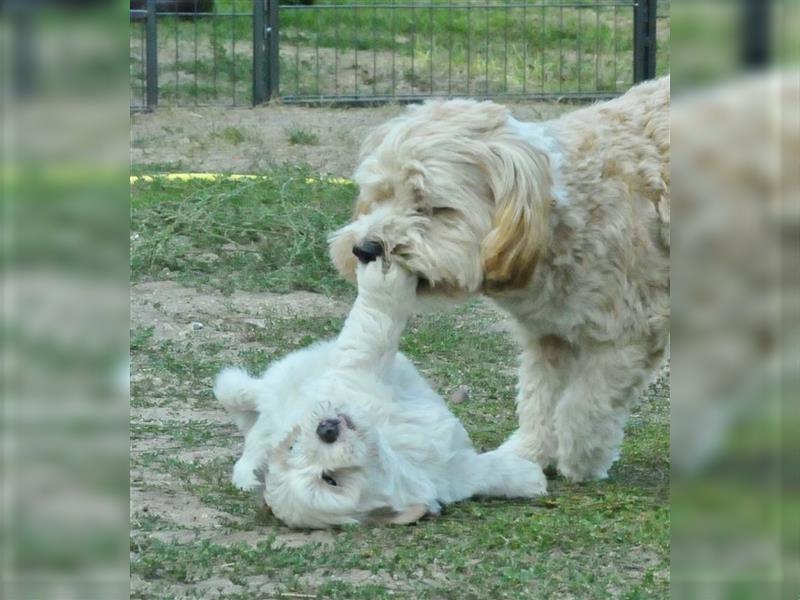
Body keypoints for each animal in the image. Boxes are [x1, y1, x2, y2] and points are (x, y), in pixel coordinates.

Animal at [216, 260, 548, 528]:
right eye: (330, 479)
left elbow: (370, 334)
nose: (326, 429)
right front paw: (528, 475)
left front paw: (524, 476)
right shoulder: (446, 475)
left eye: (292, 446)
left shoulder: (356, 376)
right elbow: (478, 472)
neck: (389, 447)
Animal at [328, 78, 672, 482]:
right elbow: (539, 401)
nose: (364, 249)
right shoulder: (548, 334)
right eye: (379, 196)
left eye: (432, 207)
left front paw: (580, 459)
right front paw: (526, 455)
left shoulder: (628, 334)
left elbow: (585, 403)